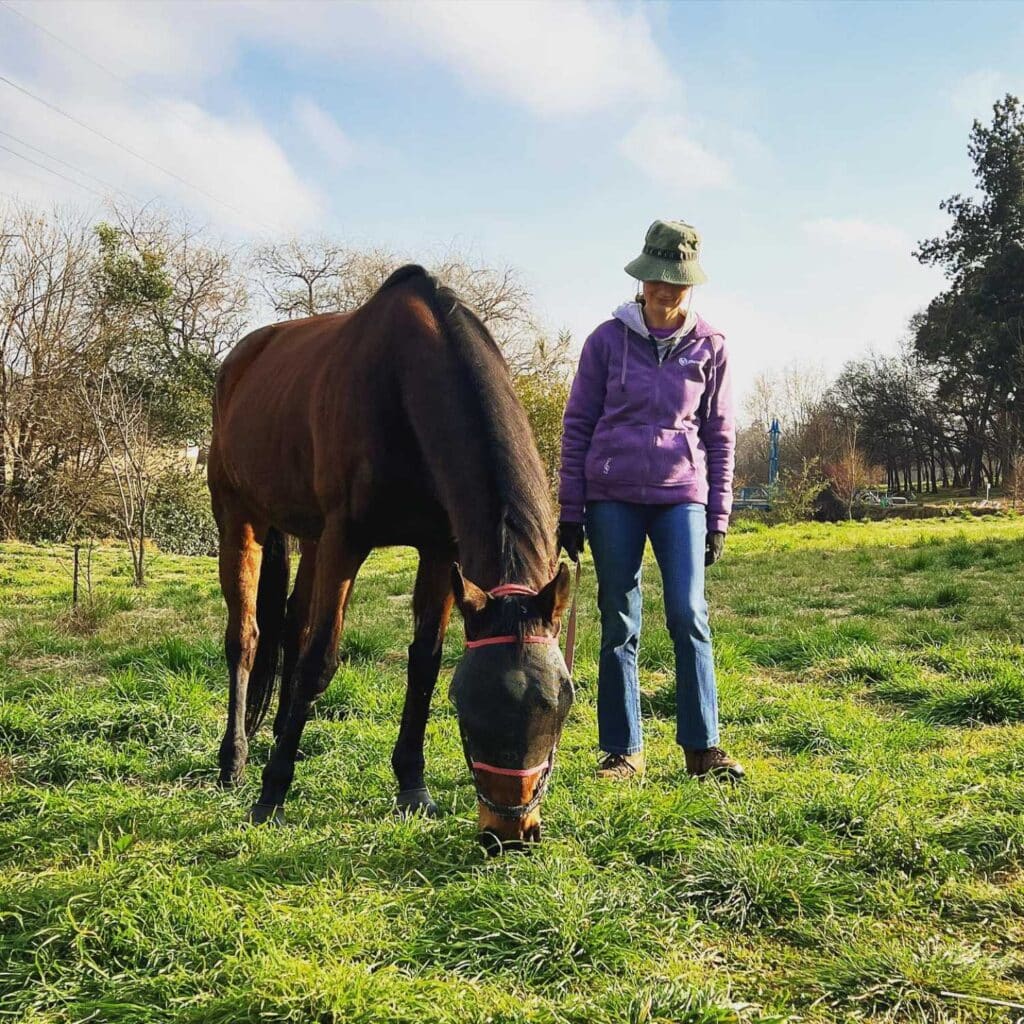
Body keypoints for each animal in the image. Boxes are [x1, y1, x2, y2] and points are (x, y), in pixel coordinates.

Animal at [207, 265, 574, 849]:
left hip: (311, 537)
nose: (511, 832)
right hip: (239, 517)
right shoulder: (347, 541)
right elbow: (320, 661)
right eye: (468, 706)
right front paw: (272, 793)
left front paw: (412, 785)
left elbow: (422, 662)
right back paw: (235, 761)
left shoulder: (439, 552)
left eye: (562, 701)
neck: (404, 389)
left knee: (291, 626)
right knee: (246, 637)